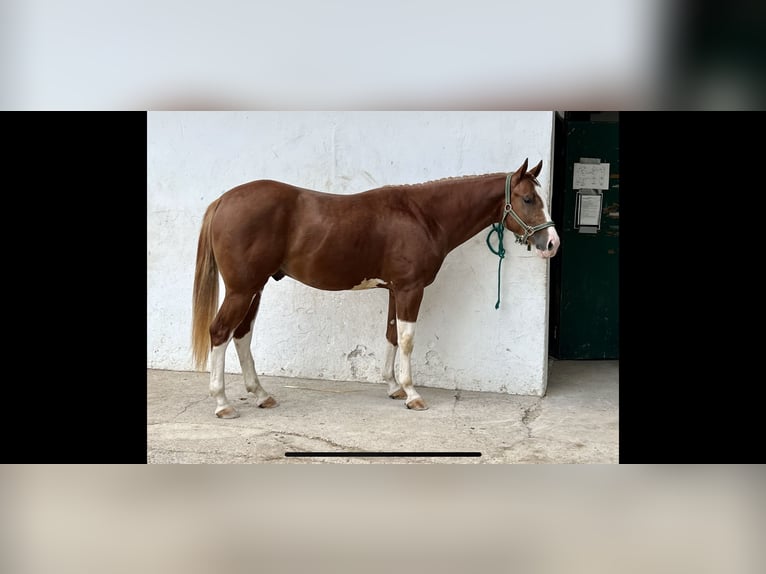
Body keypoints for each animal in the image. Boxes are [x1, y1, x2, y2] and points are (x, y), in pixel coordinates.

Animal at [192, 158, 560, 418]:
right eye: (528, 199)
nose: (552, 243)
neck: (423, 216)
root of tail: (224, 200)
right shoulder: (411, 289)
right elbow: (408, 340)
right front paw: (413, 395)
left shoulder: (395, 290)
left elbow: (392, 334)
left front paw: (394, 388)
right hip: (242, 290)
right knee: (220, 332)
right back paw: (222, 403)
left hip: (255, 288)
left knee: (242, 335)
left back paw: (261, 395)